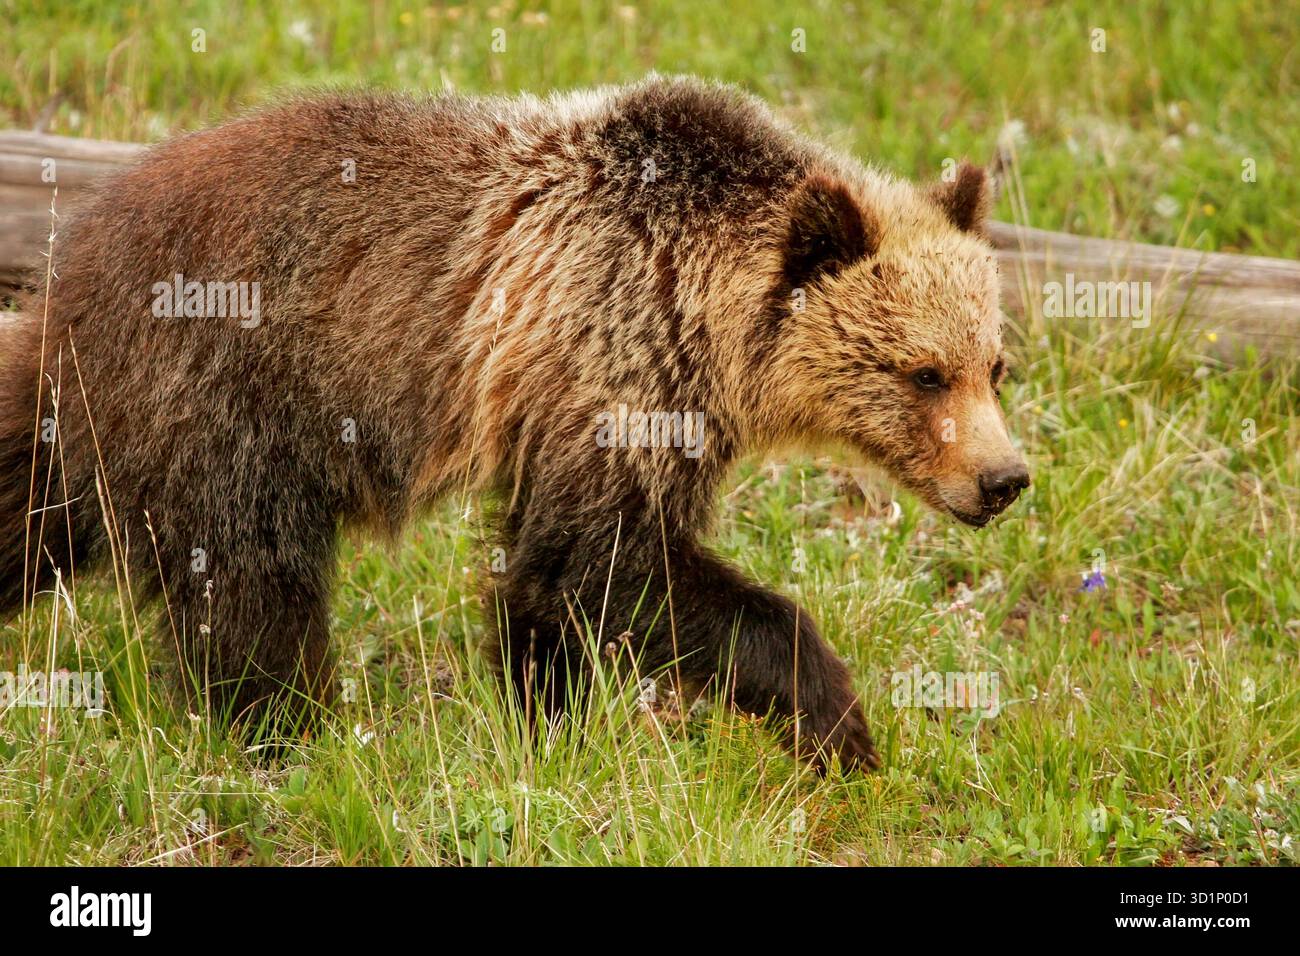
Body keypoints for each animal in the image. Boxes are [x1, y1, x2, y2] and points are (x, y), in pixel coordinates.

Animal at [0, 75, 1029, 772]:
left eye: (994, 365)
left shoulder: (589, 408)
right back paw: (291, 734)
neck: (704, 315)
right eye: (923, 373)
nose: (1005, 479)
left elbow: (547, 579)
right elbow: (605, 563)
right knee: (255, 590)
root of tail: (68, 276)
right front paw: (840, 724)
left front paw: (542, 720)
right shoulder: (614, 361)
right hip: (229, 405)